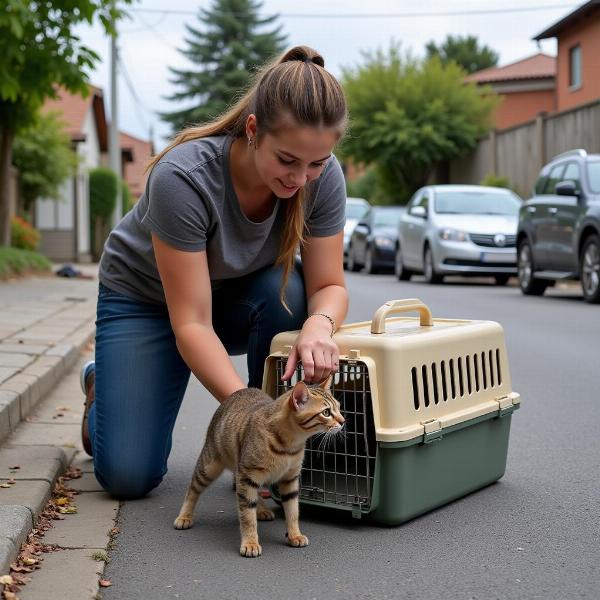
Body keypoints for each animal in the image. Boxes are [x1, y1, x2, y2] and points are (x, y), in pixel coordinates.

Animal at [171, 378, 344, 556]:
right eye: (326, 412)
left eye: (338, 407)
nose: (343, 421)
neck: (290, 445)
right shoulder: (247, 476)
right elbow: (247, 516)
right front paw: (250, 543)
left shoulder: (289, 480)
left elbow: (293, 511)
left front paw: (295, 535)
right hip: (210, 466)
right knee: (193, 489)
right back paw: (184, 516)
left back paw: (261, 509)